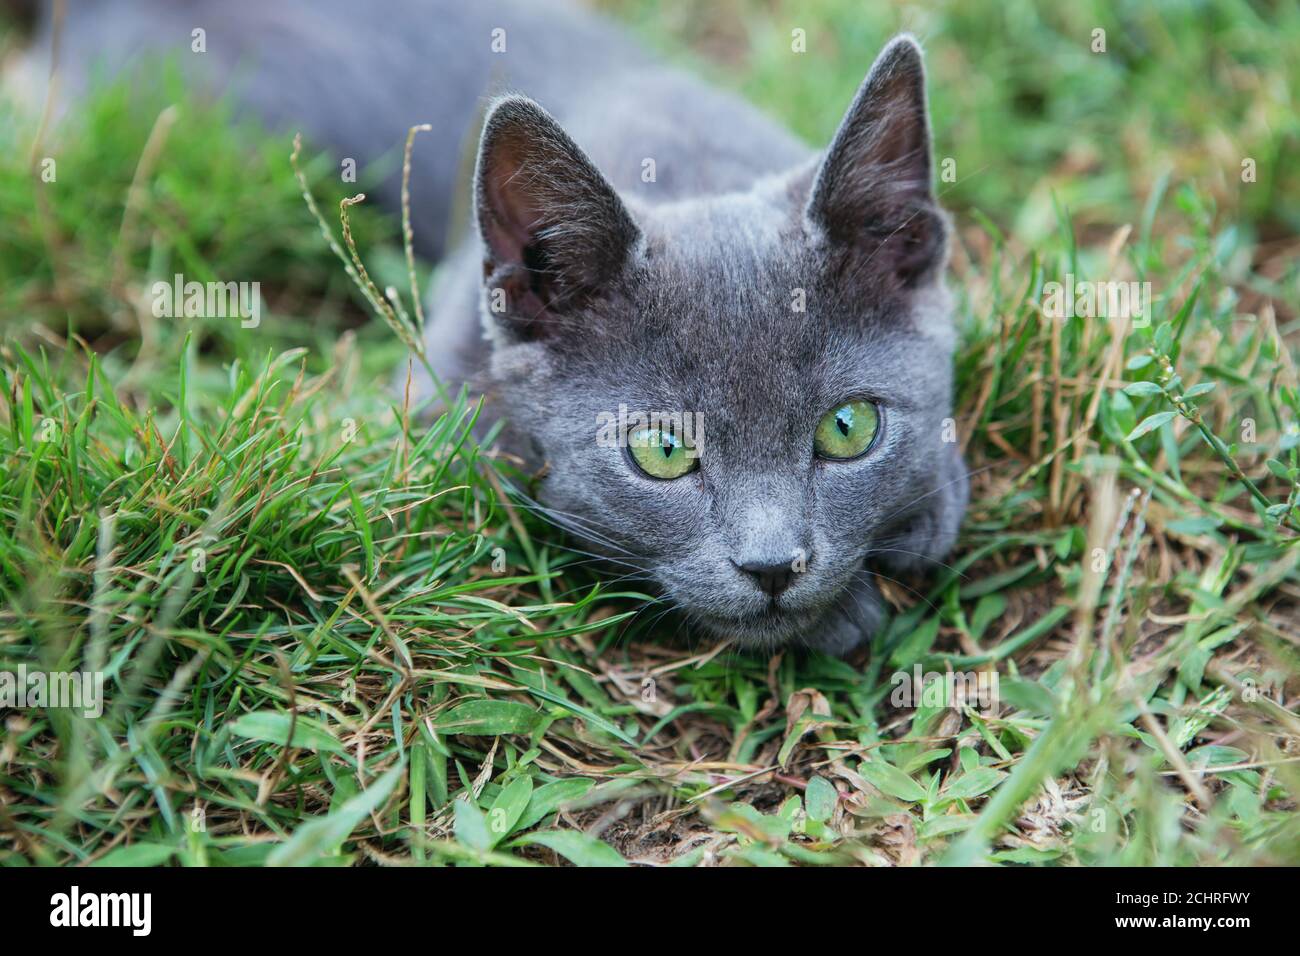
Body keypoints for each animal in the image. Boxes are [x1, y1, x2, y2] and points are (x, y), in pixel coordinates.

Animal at [20, 0, 967, 658]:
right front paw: (844, 609)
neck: (684, 165)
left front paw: (928, 503)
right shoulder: (441, 377)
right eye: (662, 450)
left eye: (848, 428)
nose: (774, 567)